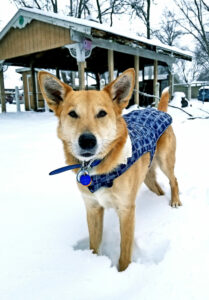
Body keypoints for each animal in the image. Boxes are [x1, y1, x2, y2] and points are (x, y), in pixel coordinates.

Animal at [38, 68, 182, 272]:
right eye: (73, 114)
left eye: (102, 113)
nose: (87, 141)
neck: (96, 167)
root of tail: (157, 110)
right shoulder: (92, 208)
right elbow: (93, 244)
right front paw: (91, 262)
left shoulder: (126, 210)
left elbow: (125, 250)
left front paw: (123, 272)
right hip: (147, 177)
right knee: (159, 188)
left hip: (165, 161)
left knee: (174, 180)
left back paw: (175, 201)